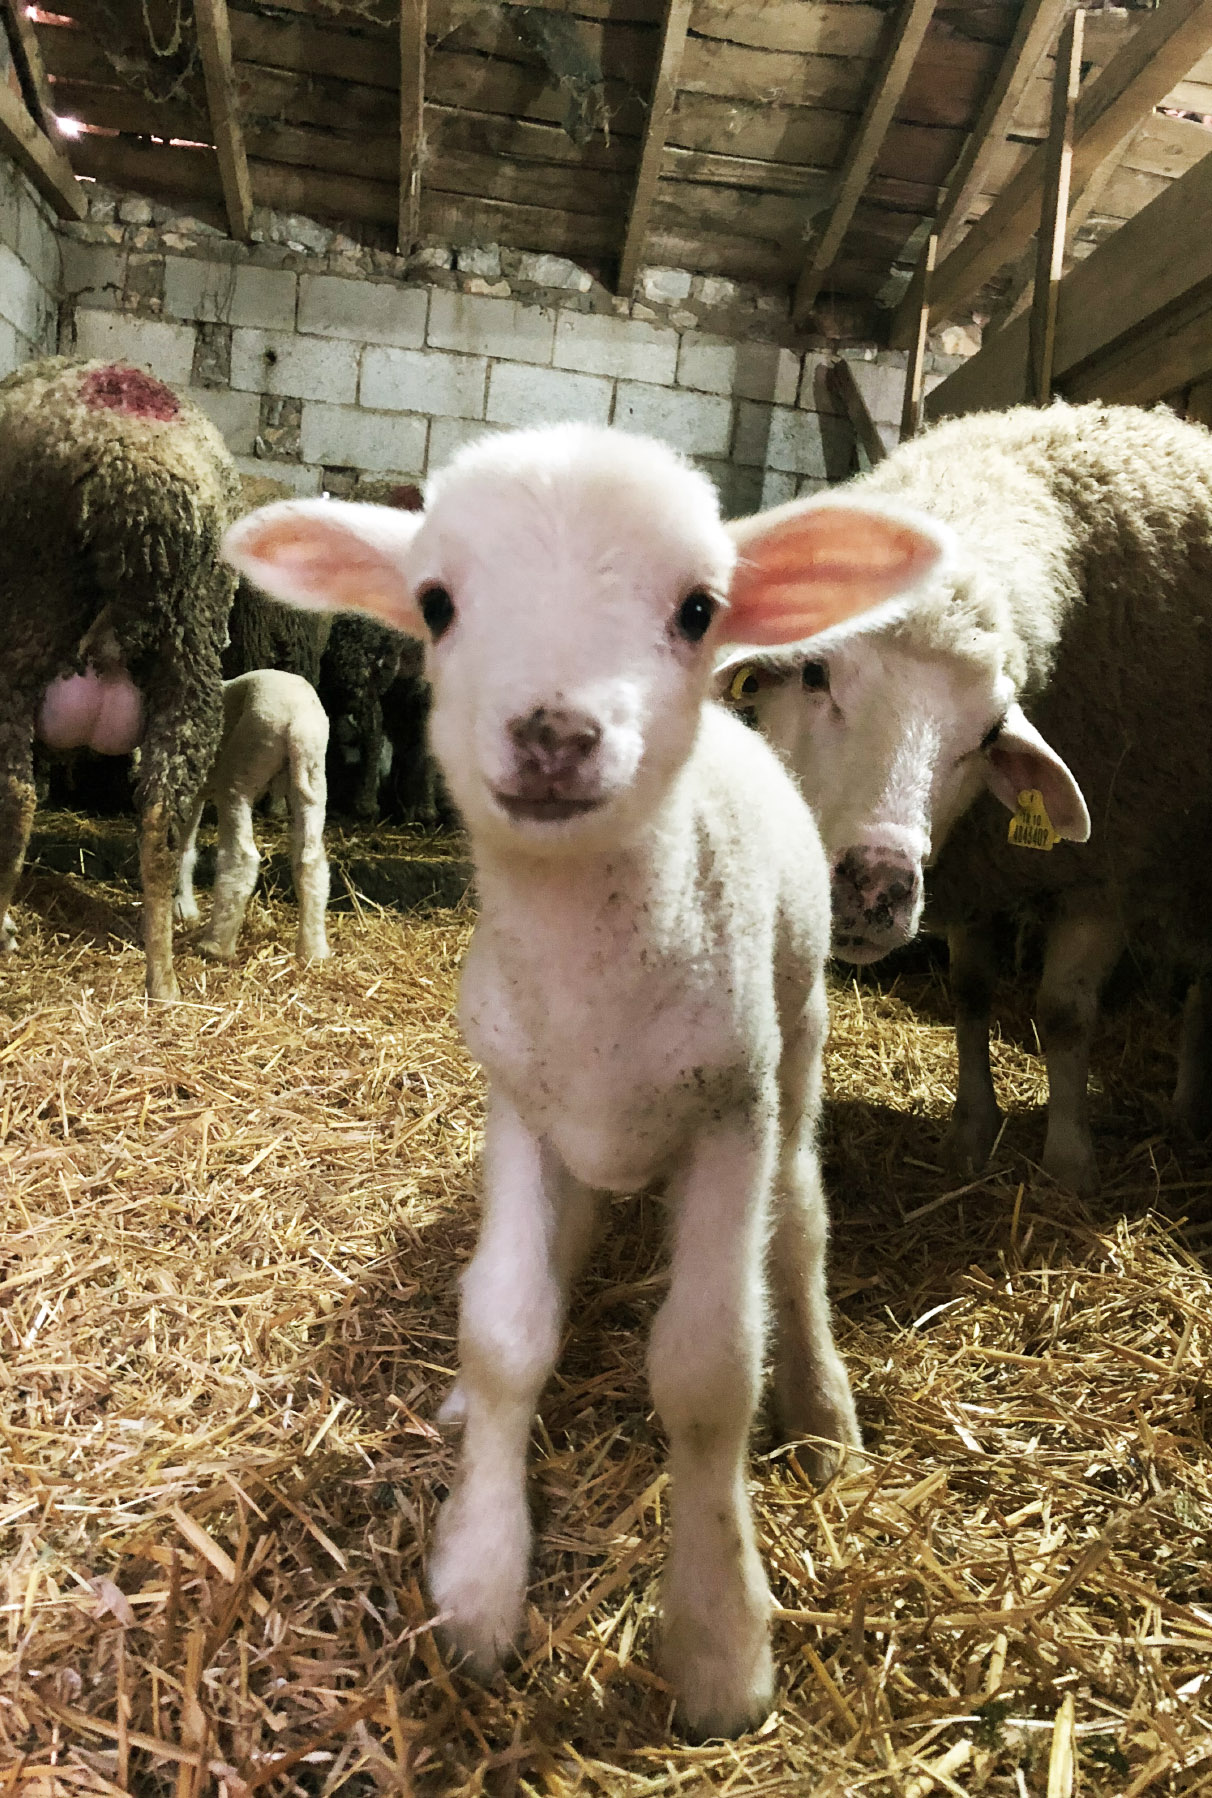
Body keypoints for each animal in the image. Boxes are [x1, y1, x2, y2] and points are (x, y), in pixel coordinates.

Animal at [174, 668, 330, 963]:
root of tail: (299, 723)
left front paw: (180, 905)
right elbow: (185, 844)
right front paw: (183, 905)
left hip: (242, 770)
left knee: (241, 857)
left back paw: (215, 945)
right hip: (313, 778)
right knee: (311, 862)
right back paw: (314, 951)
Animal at [223, 427, 942, 1733]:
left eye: (698, 607)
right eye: (436, 602)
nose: (554, 732)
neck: (594, 968)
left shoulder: (731, 1110)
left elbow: (708, 1371)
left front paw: (719, 1646)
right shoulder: (518, 1103)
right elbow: (505, 1329)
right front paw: (477, 1577)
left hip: (800, 1036)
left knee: (800, 1226)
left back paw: (824, 1415)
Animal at [722, 400, 1208, 1201]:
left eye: (986, 736)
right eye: (815, 672)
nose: (876, 888)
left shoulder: (1108, 867)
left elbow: (1064, 1013)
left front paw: (1069, 1163)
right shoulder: (977, 871)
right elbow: (971, 992)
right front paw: (971, 1132)